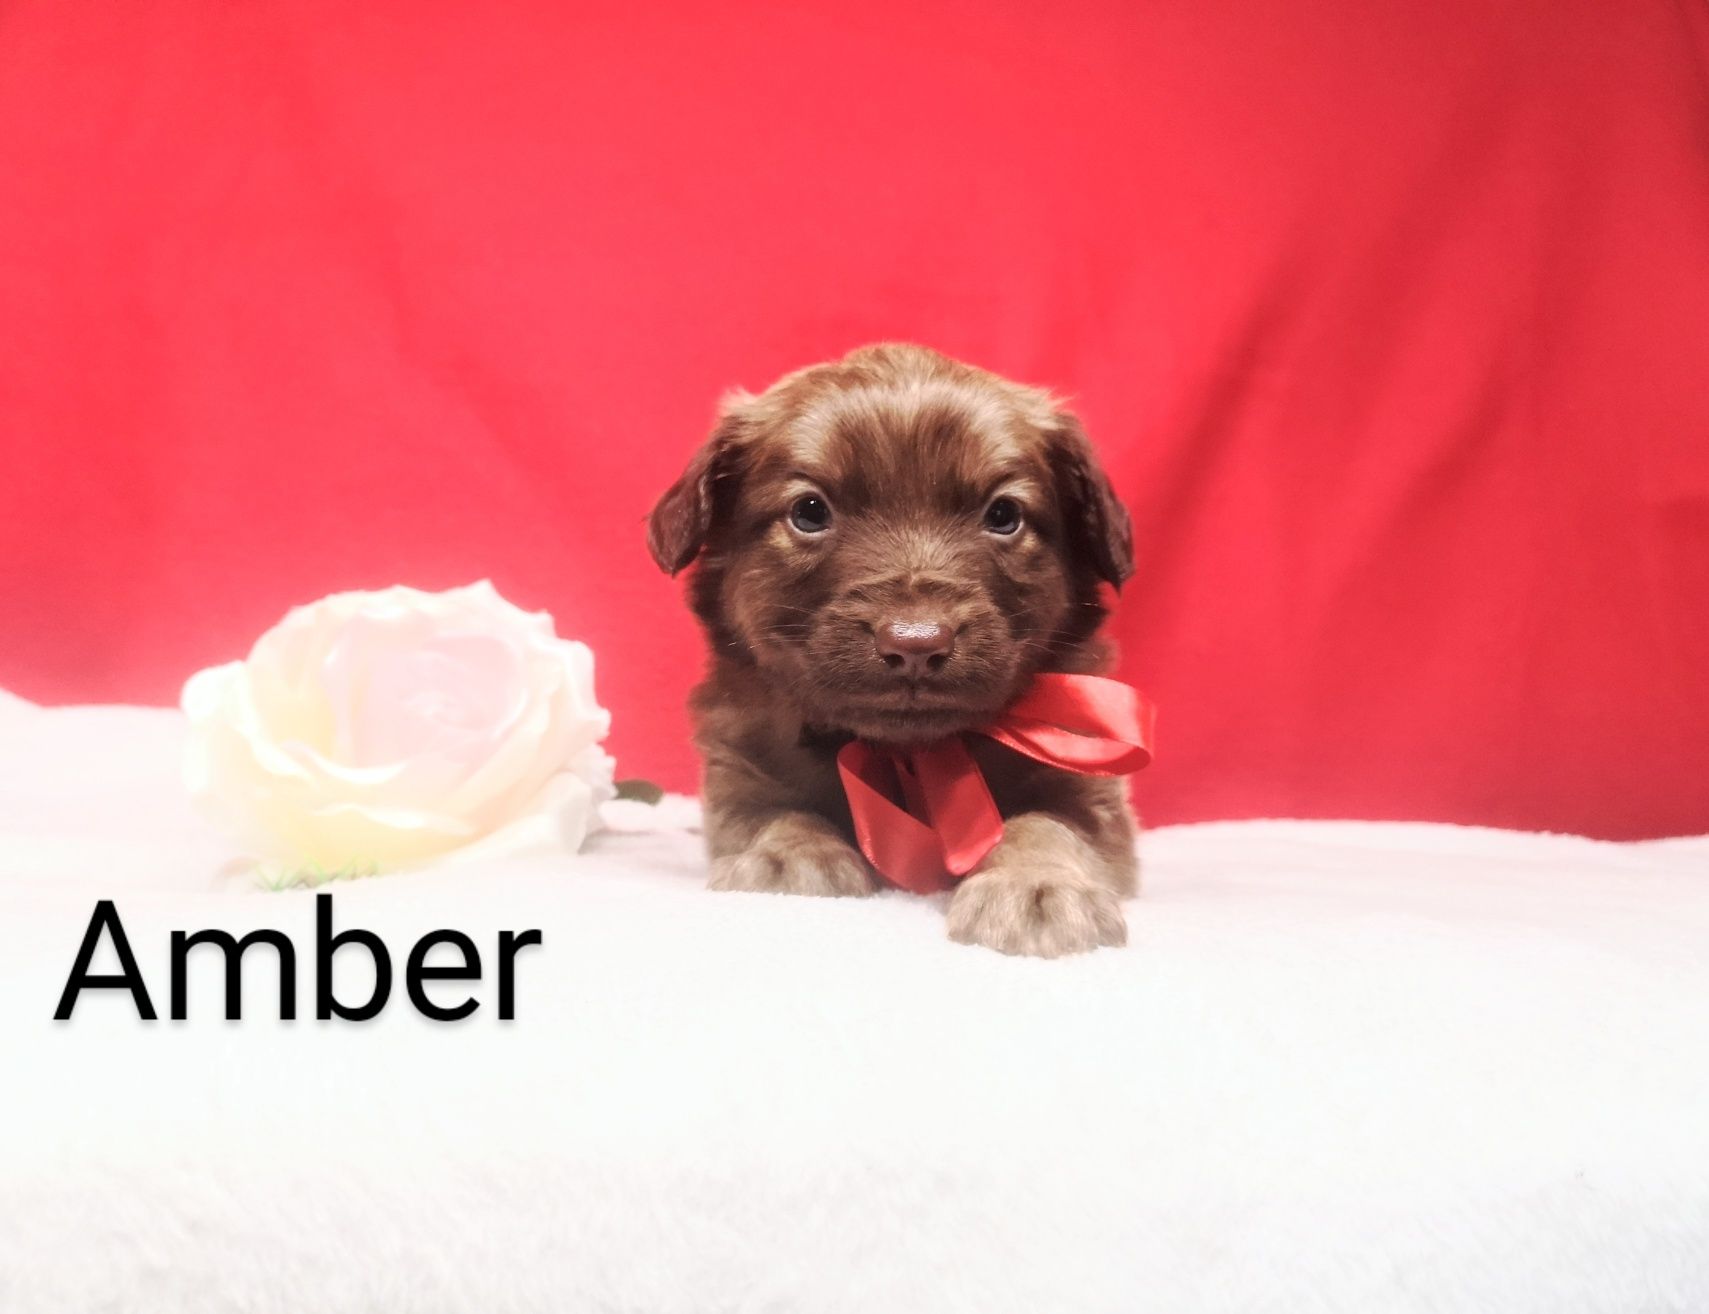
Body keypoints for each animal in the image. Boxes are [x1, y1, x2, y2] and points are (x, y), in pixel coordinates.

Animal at [646, 341, 1141, 956]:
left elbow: (1047, 825)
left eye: (1004, 515)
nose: (915, 645)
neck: (908, 753)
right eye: (810, 511)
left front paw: (1035, 884)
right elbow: (777, 813)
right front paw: (787, 857)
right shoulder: (740, 774)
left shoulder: (1088, 789)